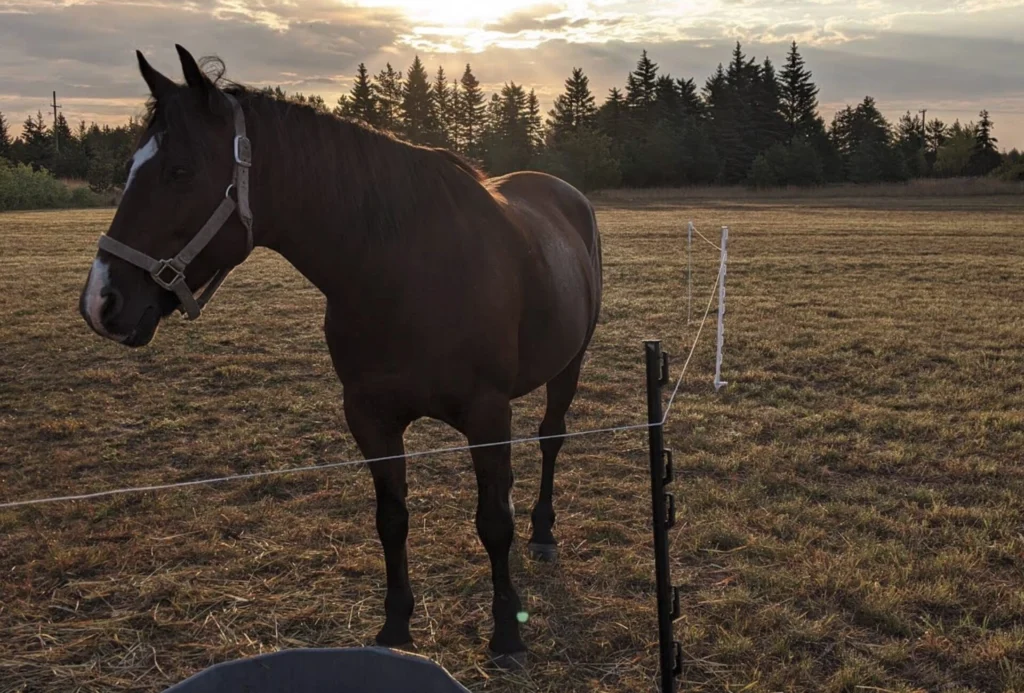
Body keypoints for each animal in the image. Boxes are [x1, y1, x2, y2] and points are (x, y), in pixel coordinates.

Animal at [78, 45, 603, 665]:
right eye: (132, 167)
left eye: (179, 171)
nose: (101, 302)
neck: (406, 270)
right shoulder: (369, 416)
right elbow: (392, 519)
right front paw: (395, 626)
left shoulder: (487, 415)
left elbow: (494, 522)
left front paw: (507, 633)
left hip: (568, 367)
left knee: (550, 440)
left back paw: (543, 533)